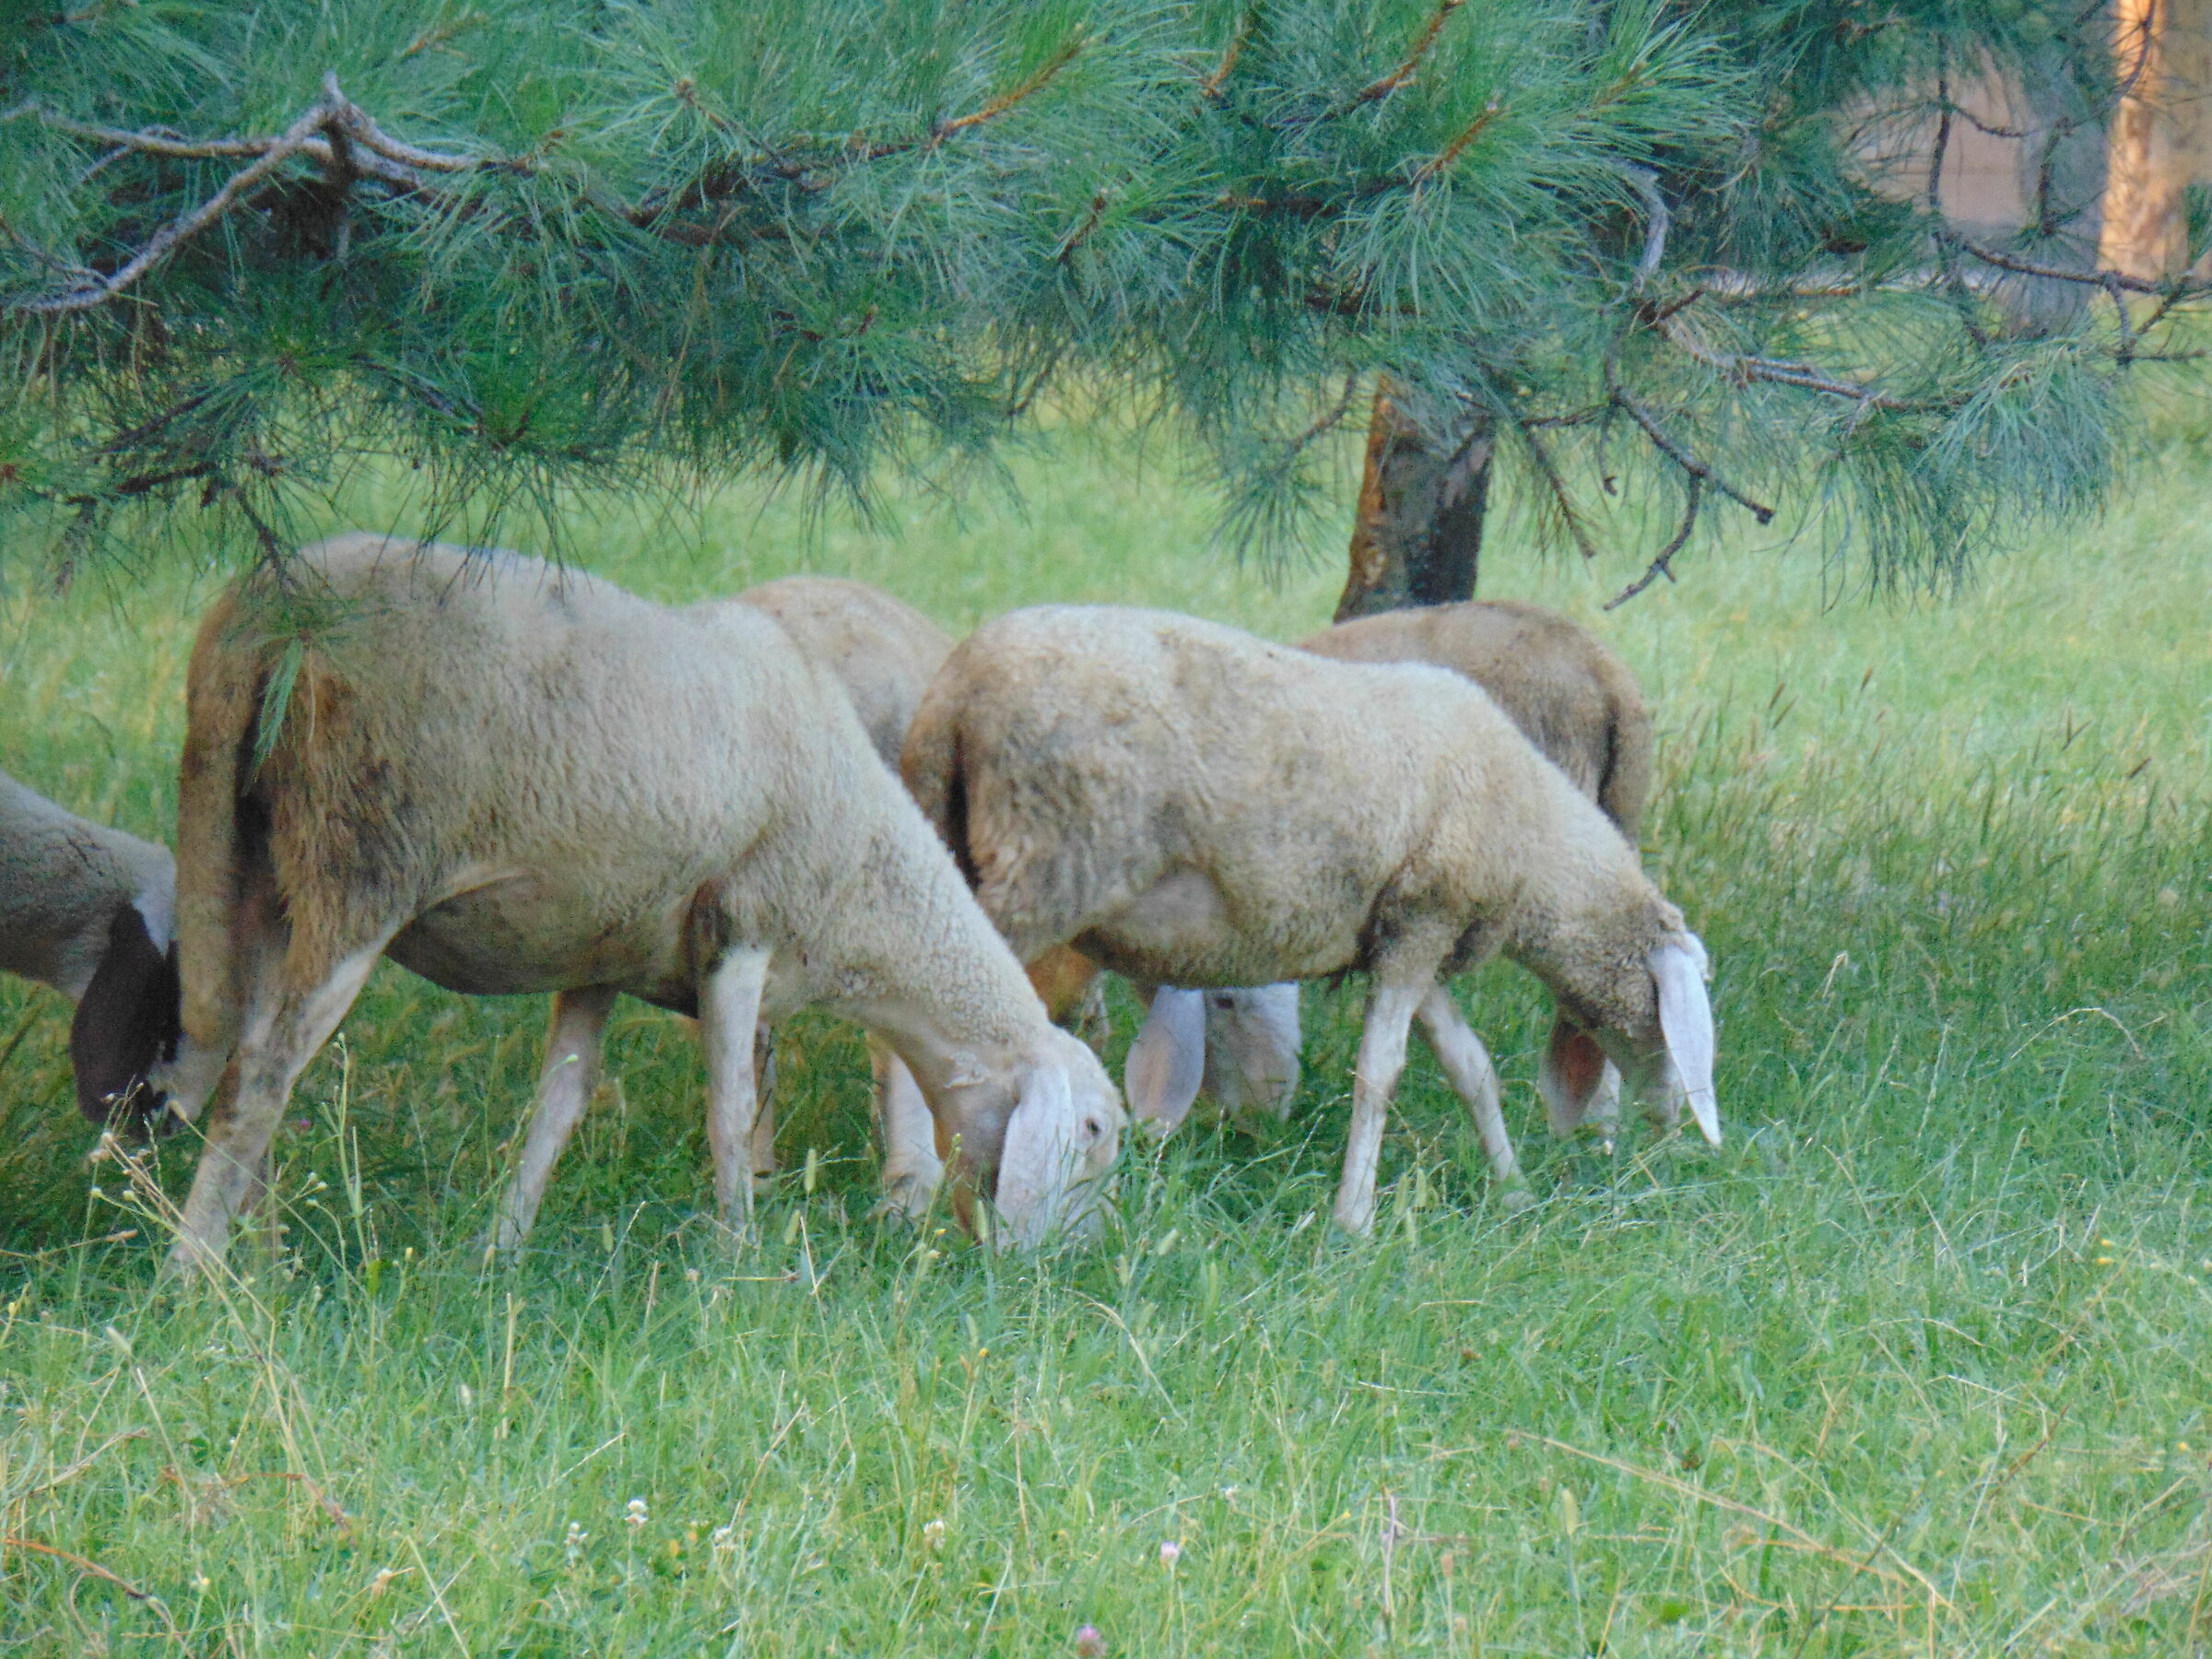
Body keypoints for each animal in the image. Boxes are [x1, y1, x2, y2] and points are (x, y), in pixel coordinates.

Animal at [155, 534, 1123, 1271]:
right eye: (1095, 1131)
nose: (1073, 1271)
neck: (865, 887)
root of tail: (255, 623)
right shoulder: (739, 932)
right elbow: (731, 1110)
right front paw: (743, 1264)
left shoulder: (601, 951)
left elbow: (559, 1106)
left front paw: (500, 1250)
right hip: (358, 861)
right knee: (261, 1072)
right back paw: (192, 1275)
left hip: (261, 867)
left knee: (252, 1053)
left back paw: (261, 1263)